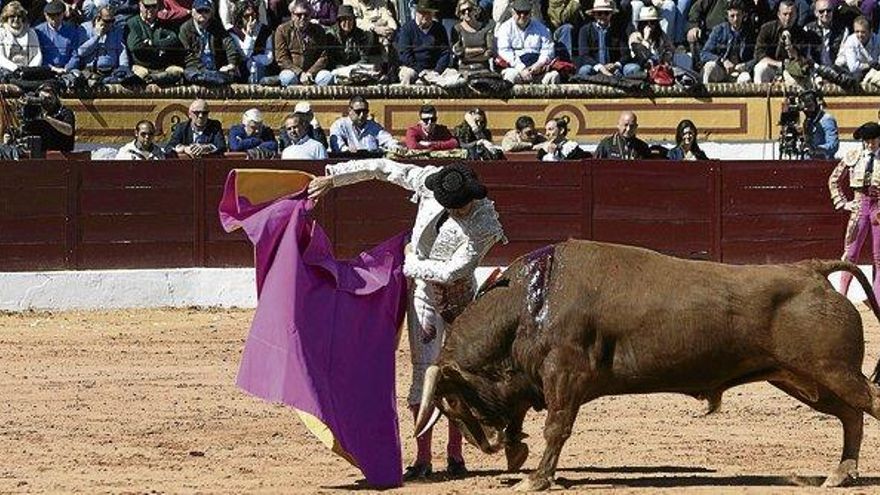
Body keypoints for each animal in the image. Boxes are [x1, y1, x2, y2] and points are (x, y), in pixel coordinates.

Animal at [416, 240, 880, 492]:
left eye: (452, 403)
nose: (487, 445)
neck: (530, 301)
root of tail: (812, 270)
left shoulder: (564, 375)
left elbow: (556, 428)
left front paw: (535, 478)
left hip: (831, 371)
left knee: (867, 403)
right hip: (804, 380)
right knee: (850, 415)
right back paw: (841, 474)